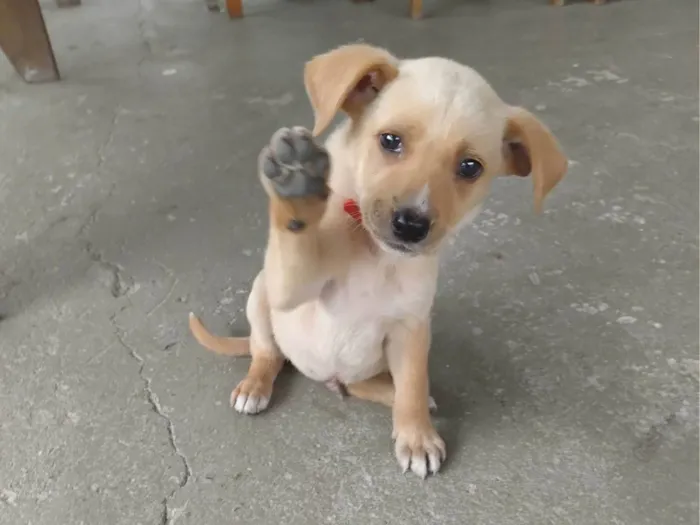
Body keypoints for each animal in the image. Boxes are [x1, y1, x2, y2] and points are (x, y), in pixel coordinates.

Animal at [187, 43, 568, 476]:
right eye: (390, 140)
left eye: (470, 167)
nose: (411, 225)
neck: (376, 254)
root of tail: (324, 376)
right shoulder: (292, 287)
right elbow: (296, 236)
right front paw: (297, 183)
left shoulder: (412, 327)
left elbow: (414, 385)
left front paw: (417, 436)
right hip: (261, 297)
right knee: (265, 352)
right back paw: (255, 384)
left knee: (366, 384)